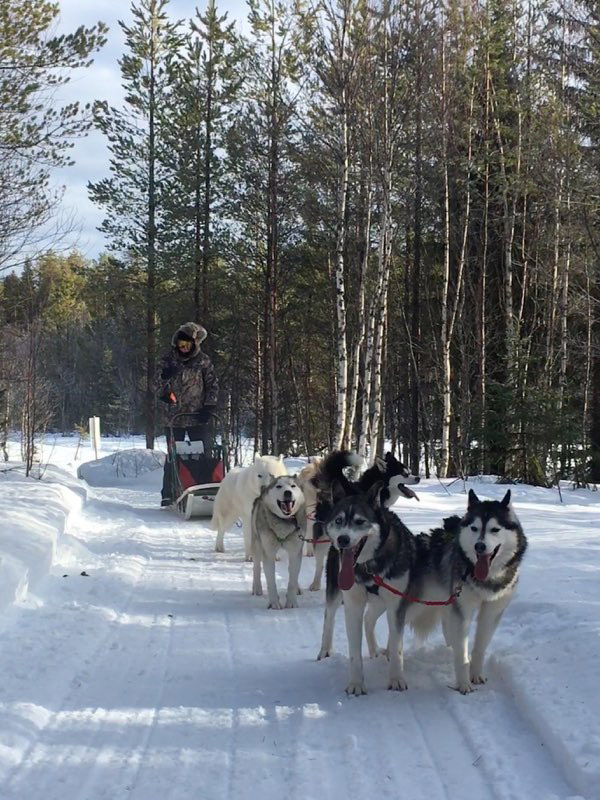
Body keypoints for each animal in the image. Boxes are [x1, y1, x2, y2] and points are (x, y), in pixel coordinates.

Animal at [251, 476, 304, 608]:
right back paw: (257, 588)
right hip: (257, 545)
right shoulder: (268, 554)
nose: (288, 492)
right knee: (256, 567)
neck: (284, 522)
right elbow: (271, 581)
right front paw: (274, 603)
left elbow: (292, 579)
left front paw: (291, 602)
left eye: (293, 486)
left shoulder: (295, 552)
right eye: (279, 486)